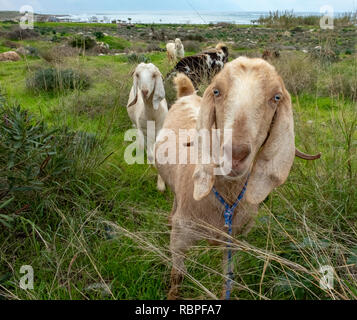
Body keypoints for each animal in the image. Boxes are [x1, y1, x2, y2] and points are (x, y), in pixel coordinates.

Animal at [127, 63, 168, 191]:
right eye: (137, 75)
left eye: (154, 75)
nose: (144, 91)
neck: (152, 114)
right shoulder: (143, 130)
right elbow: (150, 154)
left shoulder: (161, 130)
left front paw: (161, 184)